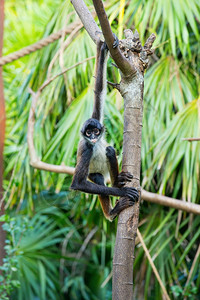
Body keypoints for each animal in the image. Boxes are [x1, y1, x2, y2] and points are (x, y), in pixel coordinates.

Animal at [70, 37, 139, 220]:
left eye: (95, 131)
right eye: (88, 133)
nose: (93, 137)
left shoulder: (96, 119)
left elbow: (99, 89)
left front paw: (106, 46)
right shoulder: (86, 148)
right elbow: (77, 184)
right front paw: (122, 192)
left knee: (109, 150)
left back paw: (117, 181)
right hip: (95, 174)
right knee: (99, 179)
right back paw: (112, 211)